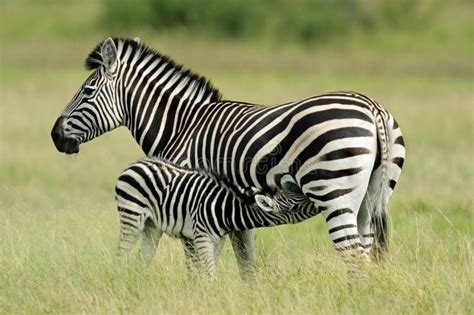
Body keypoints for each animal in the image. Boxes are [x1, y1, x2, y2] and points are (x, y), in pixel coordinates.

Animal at [115, 158, 316, 278]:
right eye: (294, 207)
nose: (315, 203)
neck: (227, 209)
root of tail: (135, 165)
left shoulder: (217, 239)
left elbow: (208, 269)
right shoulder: (201, 236)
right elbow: (210, 272)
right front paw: (209, 293)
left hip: (152, 226)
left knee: (142, 258)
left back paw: (139, 281)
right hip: (131, 217)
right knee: (121, 253)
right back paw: (122, 280)